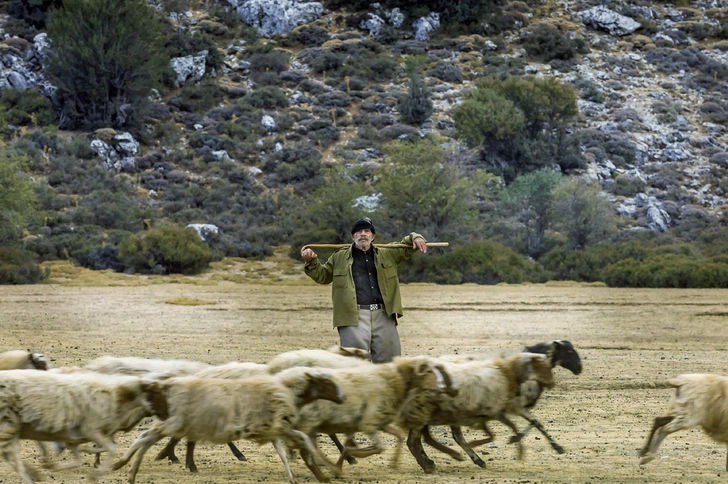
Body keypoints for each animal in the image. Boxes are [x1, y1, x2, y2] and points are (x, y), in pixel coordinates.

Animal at [0, 368, 151, 482]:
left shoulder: (76, 437)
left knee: (11, 456)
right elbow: (110, 448)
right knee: (12, 458)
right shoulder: (91, 430)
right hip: (9, 426)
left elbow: (82, 457)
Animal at [112, 366, 346, 484]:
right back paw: (126, 464)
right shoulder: (277, 427)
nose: (343, 397)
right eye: (326, 382)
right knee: (145, 438)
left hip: (181, 421)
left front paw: (298, 476)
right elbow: (302, 441)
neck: (285, 389)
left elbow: (283, 452)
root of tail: (167, 385)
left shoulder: (274, 429)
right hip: (175, 421)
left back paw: (132, 470)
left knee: (150, 439)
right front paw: (326, 469)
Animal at [288, 354, 450, 478]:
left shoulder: (380, 422)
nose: (443, 387)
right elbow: (379, 447)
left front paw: (394, 463)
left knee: (312, 449)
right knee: (309, 451)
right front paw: (354, 454)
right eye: (428, 371)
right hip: (311, 421)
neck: (393, 381)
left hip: (313, 425)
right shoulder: (368, 423)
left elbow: (398, 436)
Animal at [400, 352, 556, 472]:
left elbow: (528, 423)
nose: (552, 384)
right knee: (414, 442)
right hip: (425, 413)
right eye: (543, 367)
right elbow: (509, 429)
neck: (506, 372)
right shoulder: (495, 412)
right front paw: (518, 447)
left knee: (428, 439)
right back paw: (429, 466)